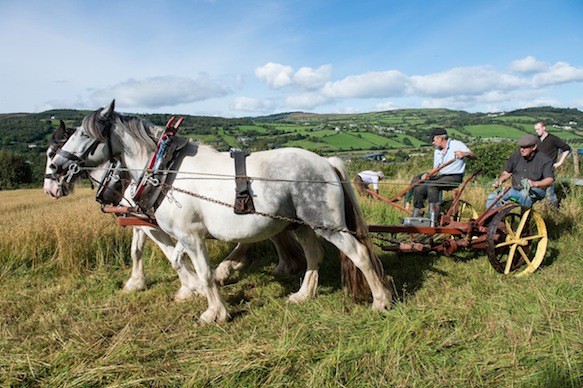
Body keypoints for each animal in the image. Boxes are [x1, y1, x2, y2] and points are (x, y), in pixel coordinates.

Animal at [43, 119, 304, 298]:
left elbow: (170, 253)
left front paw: (191, 286)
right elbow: (137, 251)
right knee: (273, 233)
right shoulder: (139, 220)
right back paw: (281, 264)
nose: (49, 188)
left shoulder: (157, 223)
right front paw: (136, 282)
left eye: (51, 153)